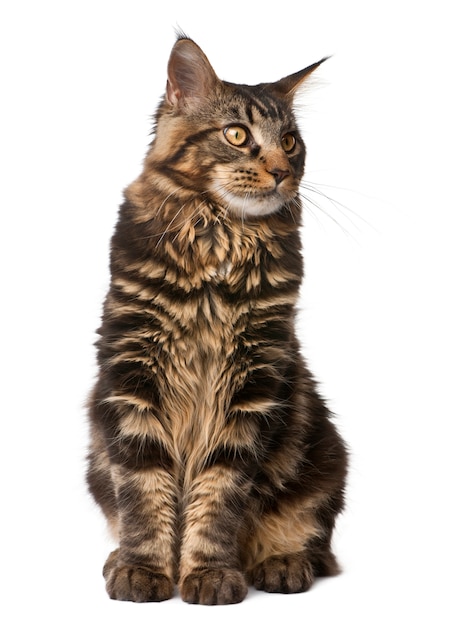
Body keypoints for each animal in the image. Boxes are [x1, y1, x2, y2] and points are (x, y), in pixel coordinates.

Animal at [86, 35, 346, 604]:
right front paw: (144, 569)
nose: (282, 171)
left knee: (313, 539)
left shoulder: (254, 381)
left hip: (324, 458)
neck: (220, 236)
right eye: (237, 134)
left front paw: (207, 573)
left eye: (290, 142)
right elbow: (142, 489)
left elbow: (221, 493)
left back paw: (281, 564)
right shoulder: (133, 373)